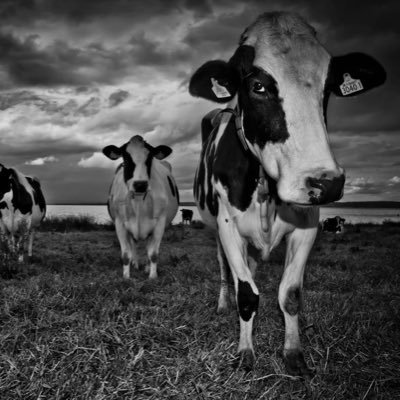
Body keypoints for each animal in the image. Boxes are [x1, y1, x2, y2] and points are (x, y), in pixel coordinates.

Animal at [103, 134, 178, 278]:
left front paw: (152, 276)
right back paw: (136, 264)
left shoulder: (160, 223)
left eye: (150, 158)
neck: (138, 201)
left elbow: (153, 253)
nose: (140, 184)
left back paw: (147, 268)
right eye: (126, 158)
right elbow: (126, 254)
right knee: (134, 246)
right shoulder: (120, 223)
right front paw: (126, 277)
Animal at [189, 10, 386, 376]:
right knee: (226, 270)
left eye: (328, 88)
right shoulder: (227, 225)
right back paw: (223, 304)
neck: (266, 187)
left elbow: (290, 294)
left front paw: (293, 354)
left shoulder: (308, 223)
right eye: (258, 86)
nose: (326, 182)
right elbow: (247, 295)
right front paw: (245, 352)